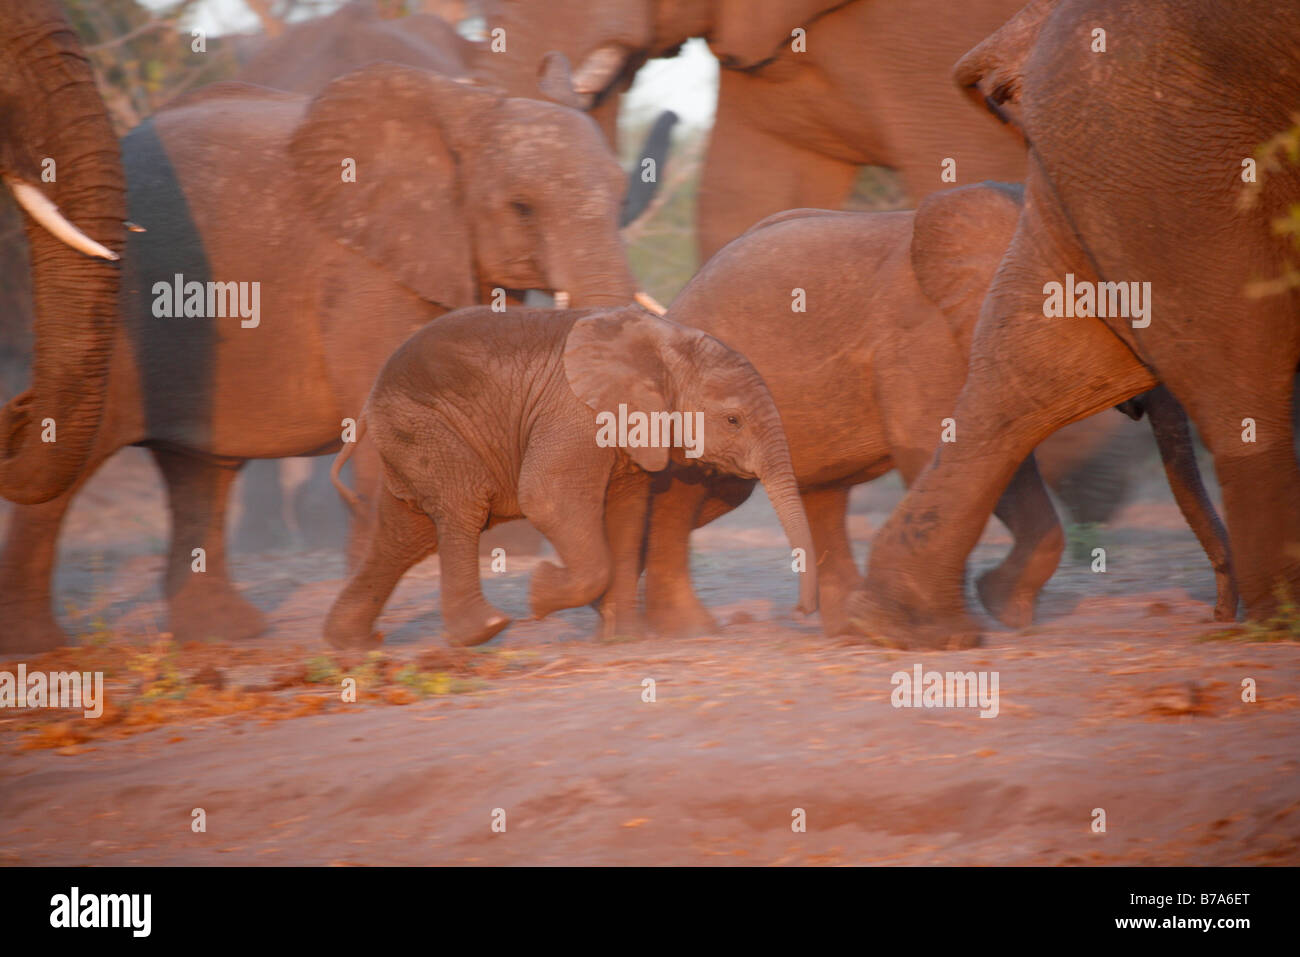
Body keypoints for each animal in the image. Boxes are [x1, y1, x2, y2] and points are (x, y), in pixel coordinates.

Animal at [0, 61, 650, 650]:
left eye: (623, 196)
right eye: (521, 208)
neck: (466, 101)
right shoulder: (366, 270)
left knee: (202, 470)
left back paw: (223, 633)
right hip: (125, 316)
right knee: (80, 453)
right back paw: (38, 644)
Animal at [325, 306, 811, 650]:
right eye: (733, 420)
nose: (801, 614)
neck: (666, 345)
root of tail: (369, 401)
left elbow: (626, 516)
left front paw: (623, 636)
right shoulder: (577, 415)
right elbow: (547, 497)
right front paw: (540, 593)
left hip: (408, 436)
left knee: (404, 535)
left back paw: (351, 643)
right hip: (424, 425)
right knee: (461, 506)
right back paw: (485, 629)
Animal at [847, 0, 1300, 647]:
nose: (1217, 612)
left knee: (1040, 361)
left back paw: (902, 626)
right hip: (1153, 132)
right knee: (1234, 358)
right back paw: (1277, 620)